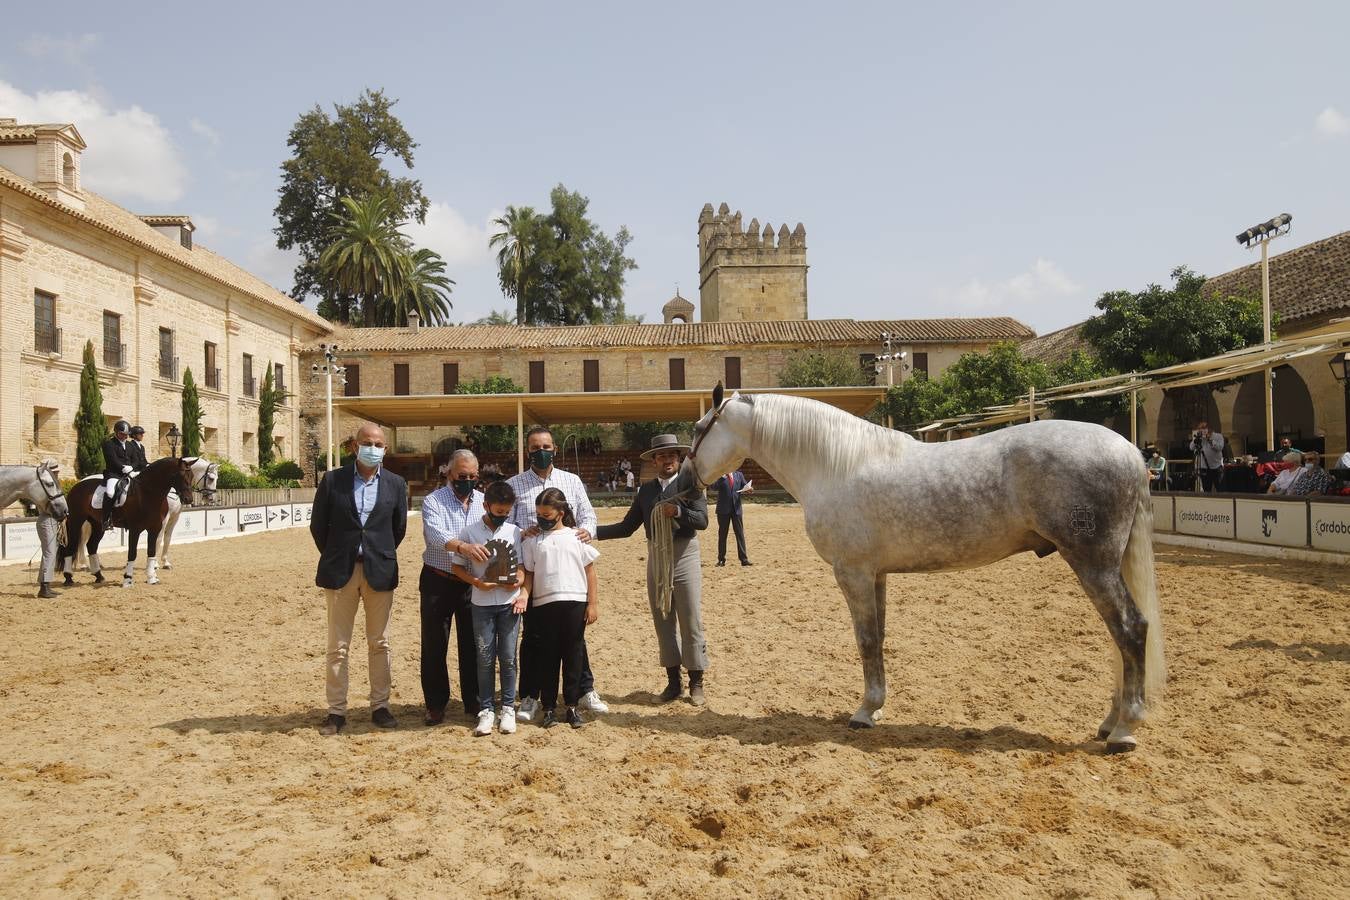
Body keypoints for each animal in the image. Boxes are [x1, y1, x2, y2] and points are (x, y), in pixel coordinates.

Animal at [680, 388, 1166, 755]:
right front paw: (876, 707)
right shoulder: (876, 574)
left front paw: (864, 713)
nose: (684, 482)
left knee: (1130, 630)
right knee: (1119, 639)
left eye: (700, 429)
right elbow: (878, 639)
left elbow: (866, 640)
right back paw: (1110, 722)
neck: (835, 464)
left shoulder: (853, 573)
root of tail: (1129, 452)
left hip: (1093, 563)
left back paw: (1124, 730)